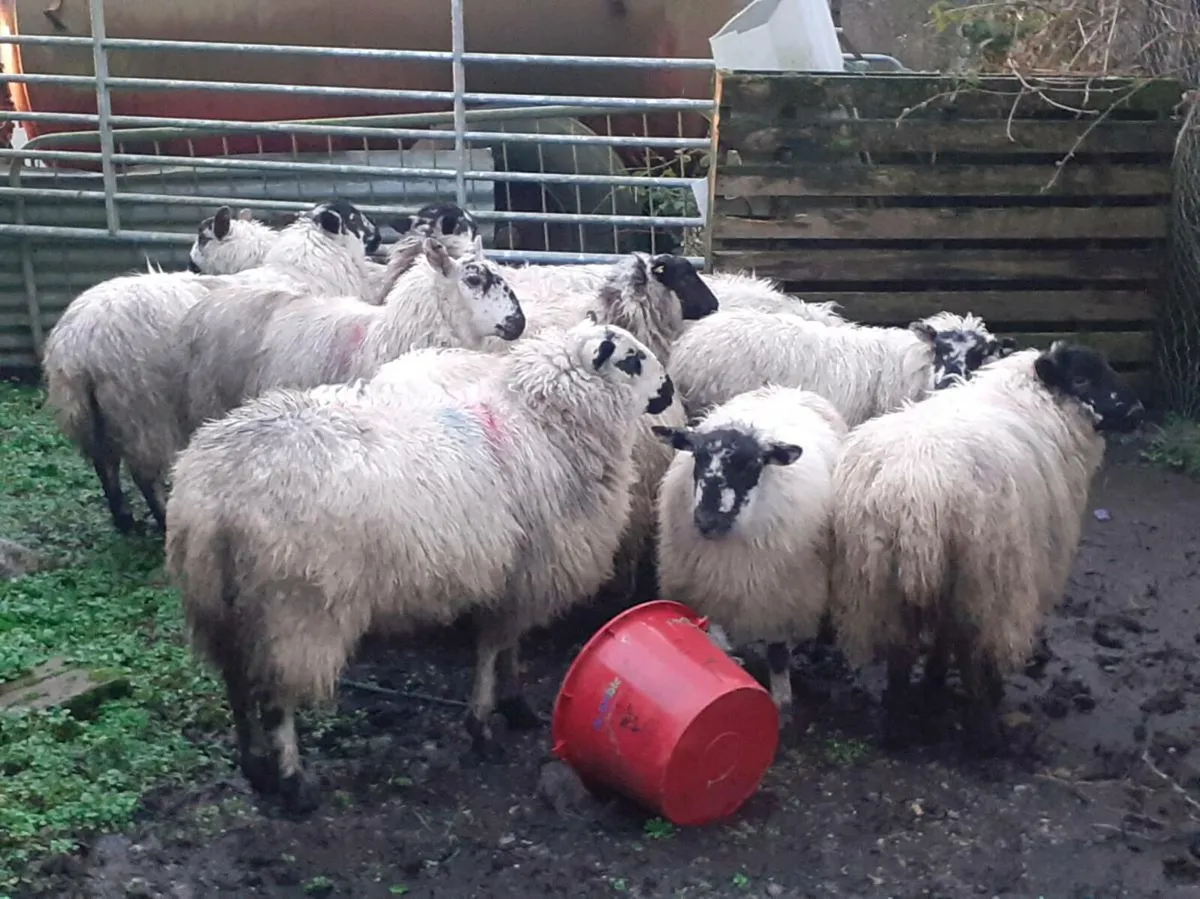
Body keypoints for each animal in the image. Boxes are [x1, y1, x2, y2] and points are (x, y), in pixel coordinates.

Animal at [165, 319, 675, 813]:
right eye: (631, 359)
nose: (669, 391)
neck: (544, 422)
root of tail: (217, 499)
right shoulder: (525, 570)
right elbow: (492, 648)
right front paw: (483, 725)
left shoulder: (518, 575)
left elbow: (509, 646)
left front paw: (514, 706)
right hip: (293, 607)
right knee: (276, 702)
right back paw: (294, 784)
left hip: (219, 602)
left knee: (235, 684)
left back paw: (255, 767)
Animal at [654, 385, 848, 732]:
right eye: (697, 456)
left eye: (751, 465)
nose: (707, 521)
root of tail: (786, 389)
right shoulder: (707, 587)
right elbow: (712, 637)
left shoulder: (780, 599)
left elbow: (778, 654)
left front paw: (782, 706)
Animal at [829, 341, 1144, 754]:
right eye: (1080, 379)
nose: (1137, 412)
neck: (1037, 401)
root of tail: (914, 495)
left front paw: (932, 682)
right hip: (985, 574)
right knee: (971, 649)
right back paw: (985, 732)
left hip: (884, 578)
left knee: (902, 650)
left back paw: (897, 727)